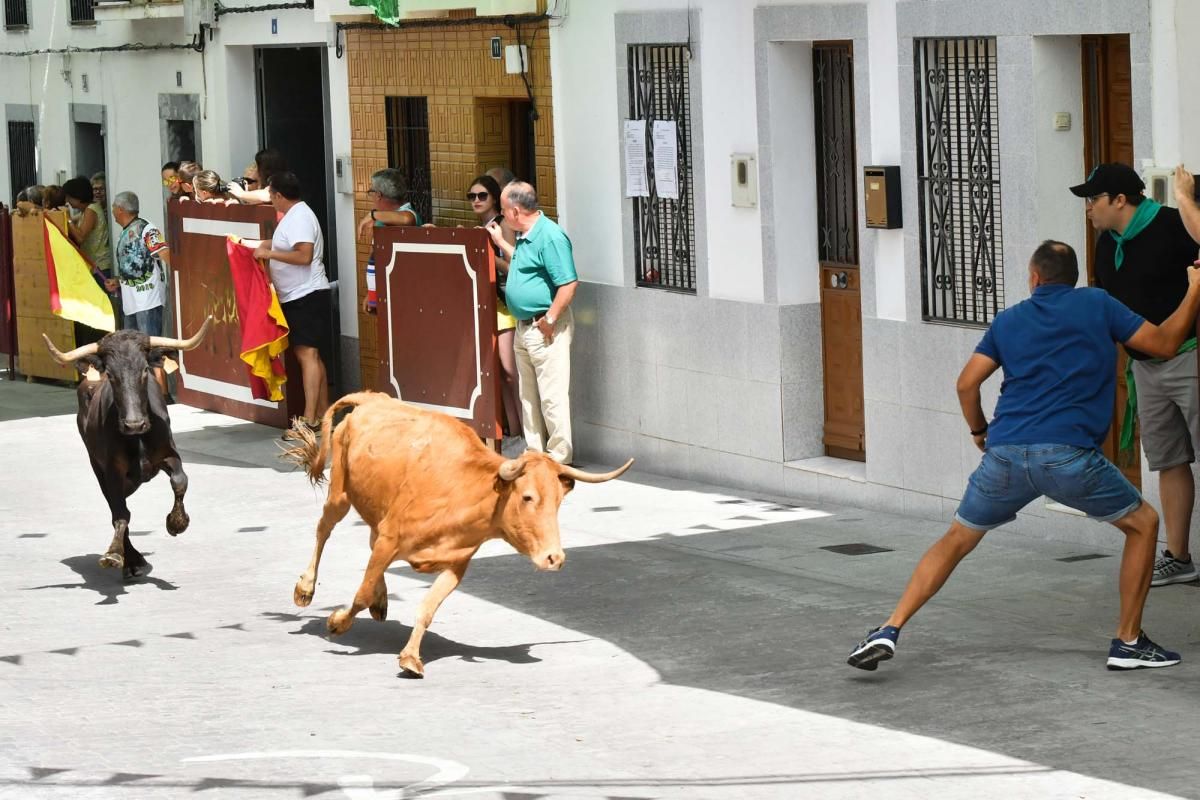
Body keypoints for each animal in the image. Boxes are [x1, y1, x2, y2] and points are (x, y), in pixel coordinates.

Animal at [42, 316, 213, 575]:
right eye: (111, 375)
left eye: (144, 371)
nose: (134, 424)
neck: (136, 438)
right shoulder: (112, 471)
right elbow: (120, 514)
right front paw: (116, 554)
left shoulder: (169, 454)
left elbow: (180, 480)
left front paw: (176, 523)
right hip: (97, 466)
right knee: (116, 508)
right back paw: (131, 559)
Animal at [283, 391, 638, 681]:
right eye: (527, 497)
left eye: (559, 501)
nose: (555, 558)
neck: (464, 492)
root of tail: (371, 399)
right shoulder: (390, 540)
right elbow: (361, 592)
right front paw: (337, 622)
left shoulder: (456, 565)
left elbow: (426, 608)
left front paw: (410, 658)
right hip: (340, 494)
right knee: (323, 530)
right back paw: (305, 588)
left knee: (367, 544)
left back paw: (381, 601)